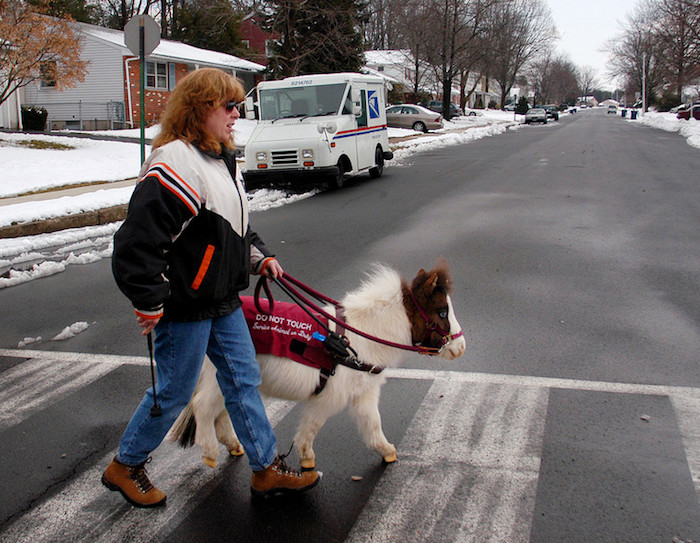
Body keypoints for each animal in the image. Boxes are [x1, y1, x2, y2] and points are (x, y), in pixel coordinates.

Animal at [167, 264, 468, 472]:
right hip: (219, 377)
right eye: (442, 312)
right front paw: (306, 459)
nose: (461, 347)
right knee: (203, 407)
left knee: (219, 414)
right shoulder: (328, 398)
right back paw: (209, 453)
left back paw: (233, 446)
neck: (357, 339)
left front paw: (387, 452)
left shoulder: (364, 393)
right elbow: (311, 427)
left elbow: (372, 423)